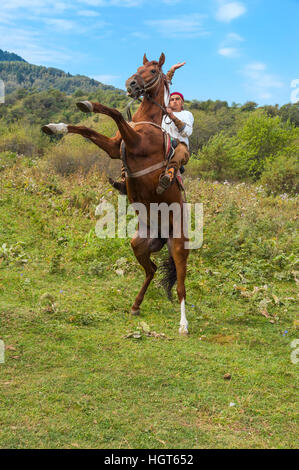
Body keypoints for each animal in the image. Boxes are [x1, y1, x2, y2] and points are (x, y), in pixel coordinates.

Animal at [42, 52, 190, 334]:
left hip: (179, 247)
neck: (147, 124)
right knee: (152, 270)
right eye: (139, 67)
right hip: (139, 244)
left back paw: (183, 325)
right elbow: (87, 129)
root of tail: (163, 233)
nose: (131, 84)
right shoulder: (114, 147)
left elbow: (117, 114)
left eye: (152, 70)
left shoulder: (134, 141)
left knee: (180, 287)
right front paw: (56, 126)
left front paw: (87, 104)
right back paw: (136, 305)